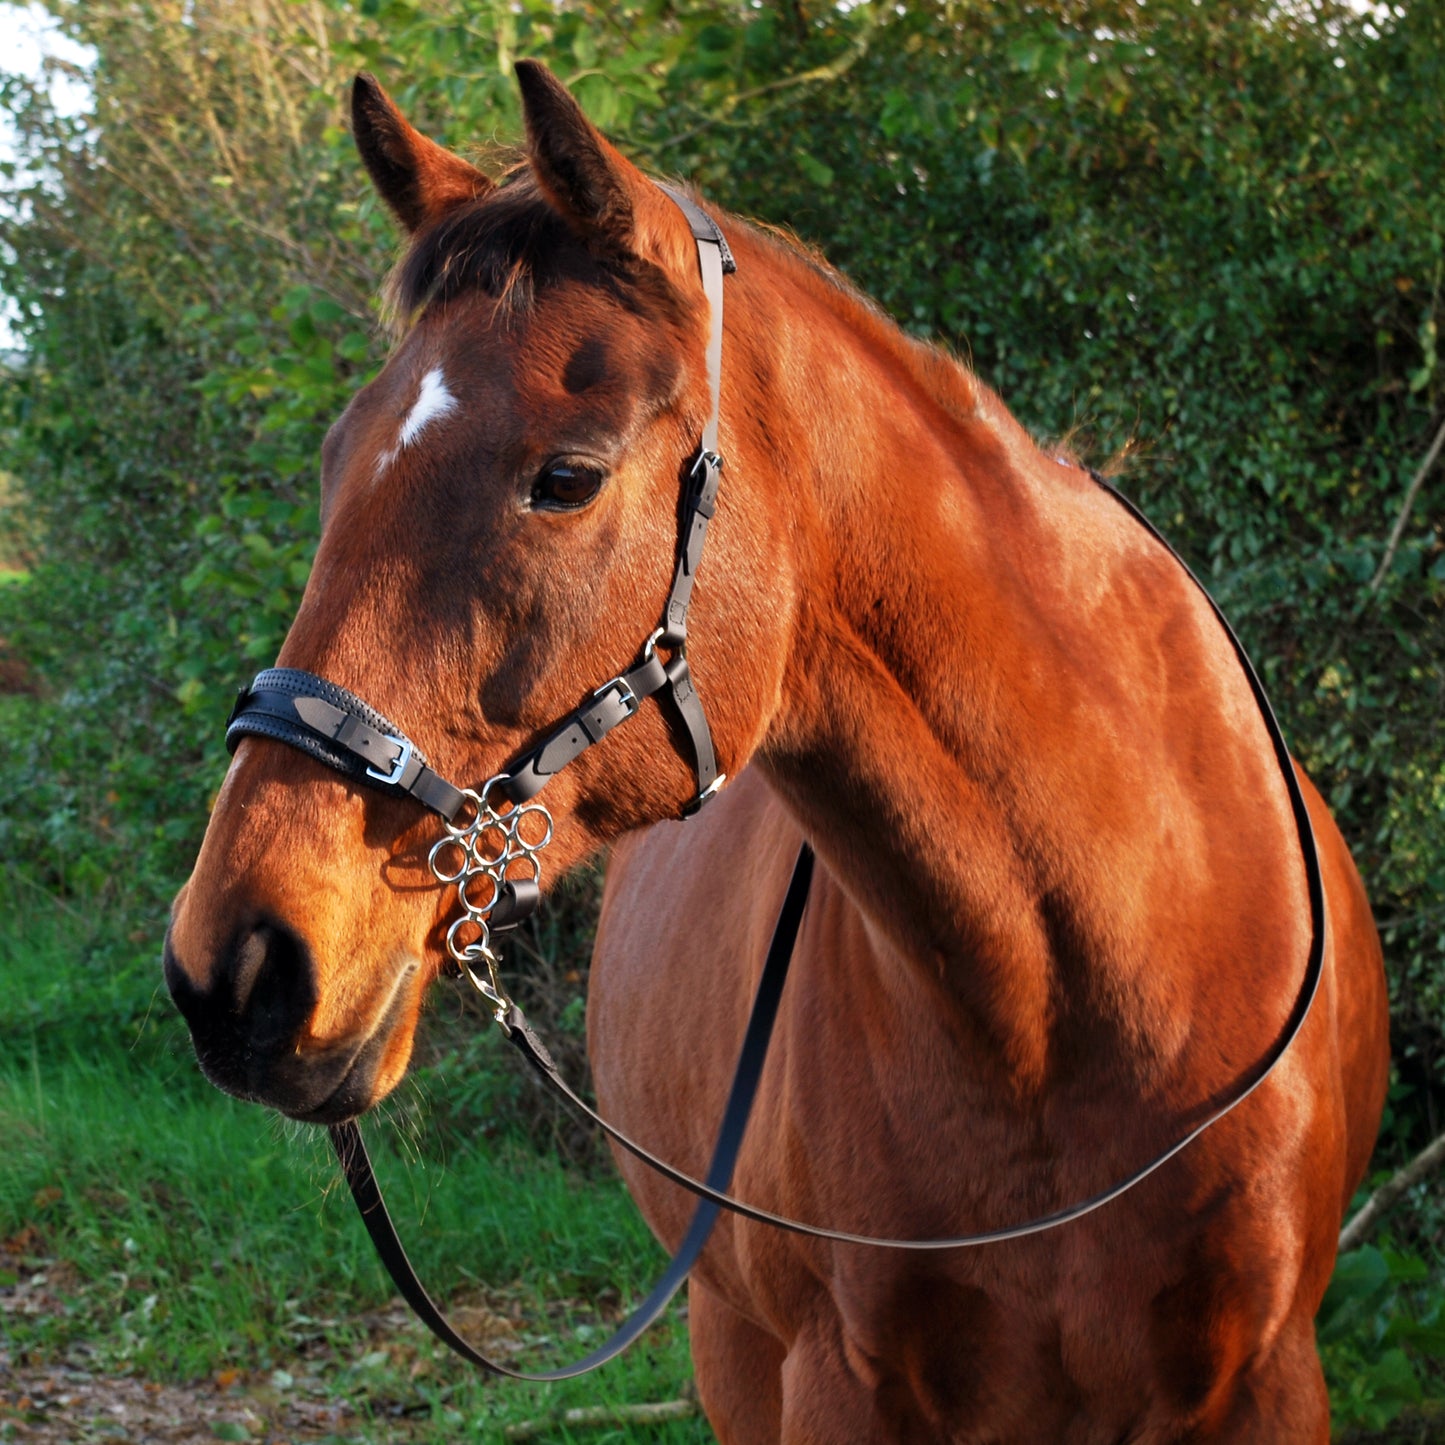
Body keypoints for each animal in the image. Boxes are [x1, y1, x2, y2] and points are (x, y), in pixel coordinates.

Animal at [164, 62, 1392, 1439]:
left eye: (565, 477)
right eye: (337, 459)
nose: (235, 963)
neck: (1078, 1006)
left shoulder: (1266, 1376)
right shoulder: (832, 1379)